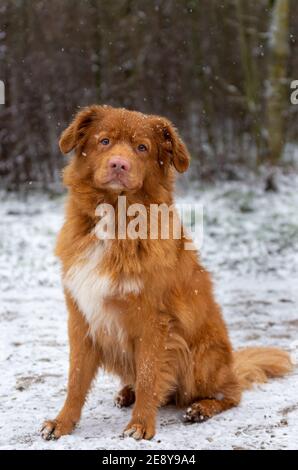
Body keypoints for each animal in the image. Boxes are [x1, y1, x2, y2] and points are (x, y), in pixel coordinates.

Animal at [41, 105, 294, 440]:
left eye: (142, 147)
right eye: (104, 141)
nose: (119, 164)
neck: (116, 219)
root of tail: (231, 364)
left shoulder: (154, 321)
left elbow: (150, 376)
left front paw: (141, 424)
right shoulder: (82, 316)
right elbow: (76, 379)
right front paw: (62, 422)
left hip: (200, 359)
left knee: (230, 393)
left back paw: (201, 408)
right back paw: (127, 392)